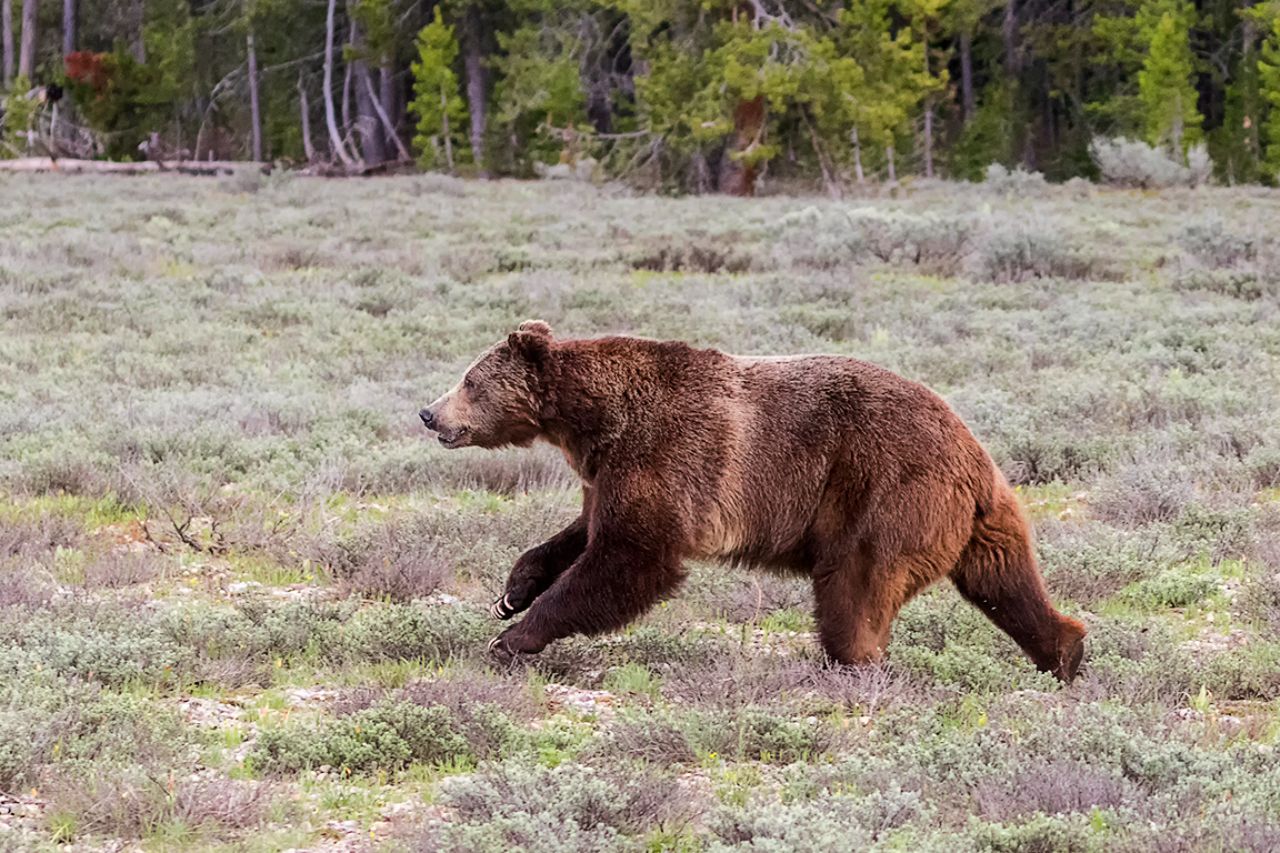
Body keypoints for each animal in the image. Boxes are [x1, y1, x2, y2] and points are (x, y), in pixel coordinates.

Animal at [419, 321, 1086, 682]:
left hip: (883, 491)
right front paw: (513, 593)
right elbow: (583, 533)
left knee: (854, 585)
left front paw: (515, 637)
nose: (429, 413)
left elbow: (629, 559)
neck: (590, 422)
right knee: (1005, 581)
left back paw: (851, 662)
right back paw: (1065, 649)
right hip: (982, 519)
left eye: (470, 380)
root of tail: (971, 452)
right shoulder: (605, 471)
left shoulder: (665, 454)